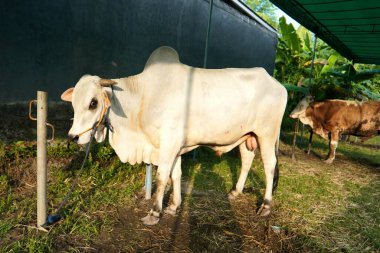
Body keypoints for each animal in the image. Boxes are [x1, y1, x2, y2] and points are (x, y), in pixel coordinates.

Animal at [60, 46, 286, 224]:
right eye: (73, 103)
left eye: (93, 102)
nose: (73, 137)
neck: (143, 97)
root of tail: (277, 84)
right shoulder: (176, 147)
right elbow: (176, 175)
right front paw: (173, 206)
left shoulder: (168, 143)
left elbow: (162, 177)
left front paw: (155, 212)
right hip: (247, 136)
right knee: (247, 161)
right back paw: (235, 192)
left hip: (266, 135)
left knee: (269, 166)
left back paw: (266, 206)